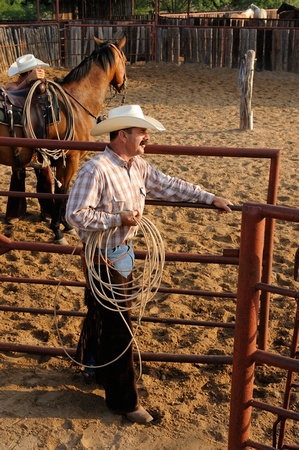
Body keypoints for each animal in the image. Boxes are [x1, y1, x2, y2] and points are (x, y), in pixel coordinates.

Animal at [0, 36, 127, 244]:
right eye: (124, 59)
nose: (124, 83)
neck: (76, 104)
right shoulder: (69, 160)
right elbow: (63, 193)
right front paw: (59, 231)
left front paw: (66, 226)